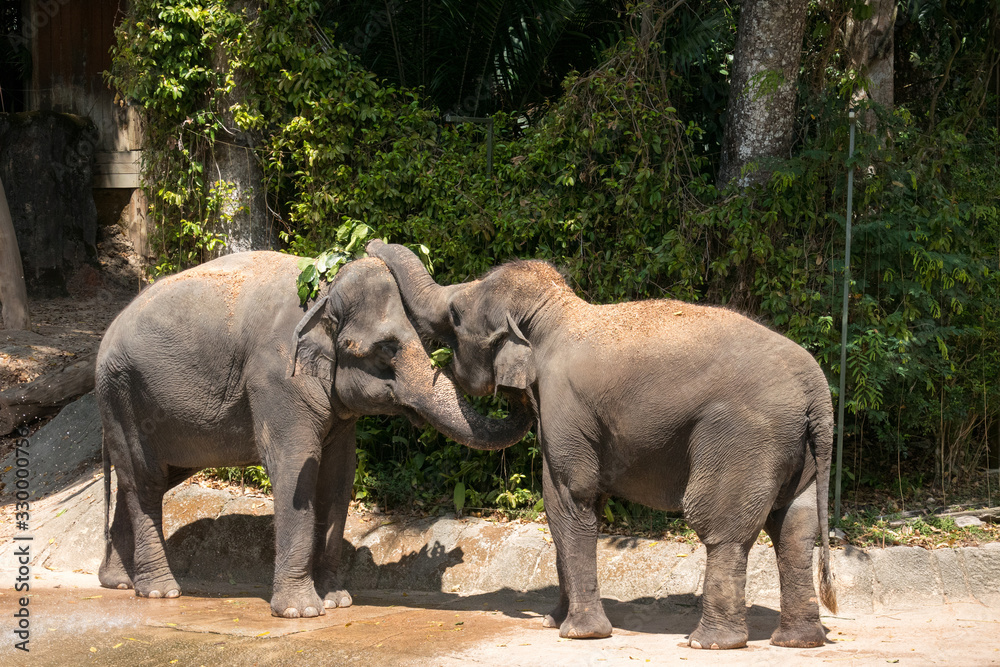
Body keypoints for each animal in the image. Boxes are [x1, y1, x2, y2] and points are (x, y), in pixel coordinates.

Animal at [96, 251, 532, 618]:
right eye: (386, 349)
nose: (512, 348)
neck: (324, 292)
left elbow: (338, 478)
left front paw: (338, 601)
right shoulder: (275, 378)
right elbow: (295, 471)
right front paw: (301, 611)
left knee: (147, 479)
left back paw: (118, 582)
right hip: (122, 397)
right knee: (144, 480)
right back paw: (160, 591)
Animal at [367, 240, 837, 649]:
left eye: (456, 314)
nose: (372, 245)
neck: (555, 311)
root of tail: (816, 388)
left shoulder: (566, 404)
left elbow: (571, 499)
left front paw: (579, 633)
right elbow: (560, 508)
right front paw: (553, 621)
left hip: (745, 436)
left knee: (722, 527)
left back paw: (709, 643)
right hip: (797, 447)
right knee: (794, 527)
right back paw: (798, 641)